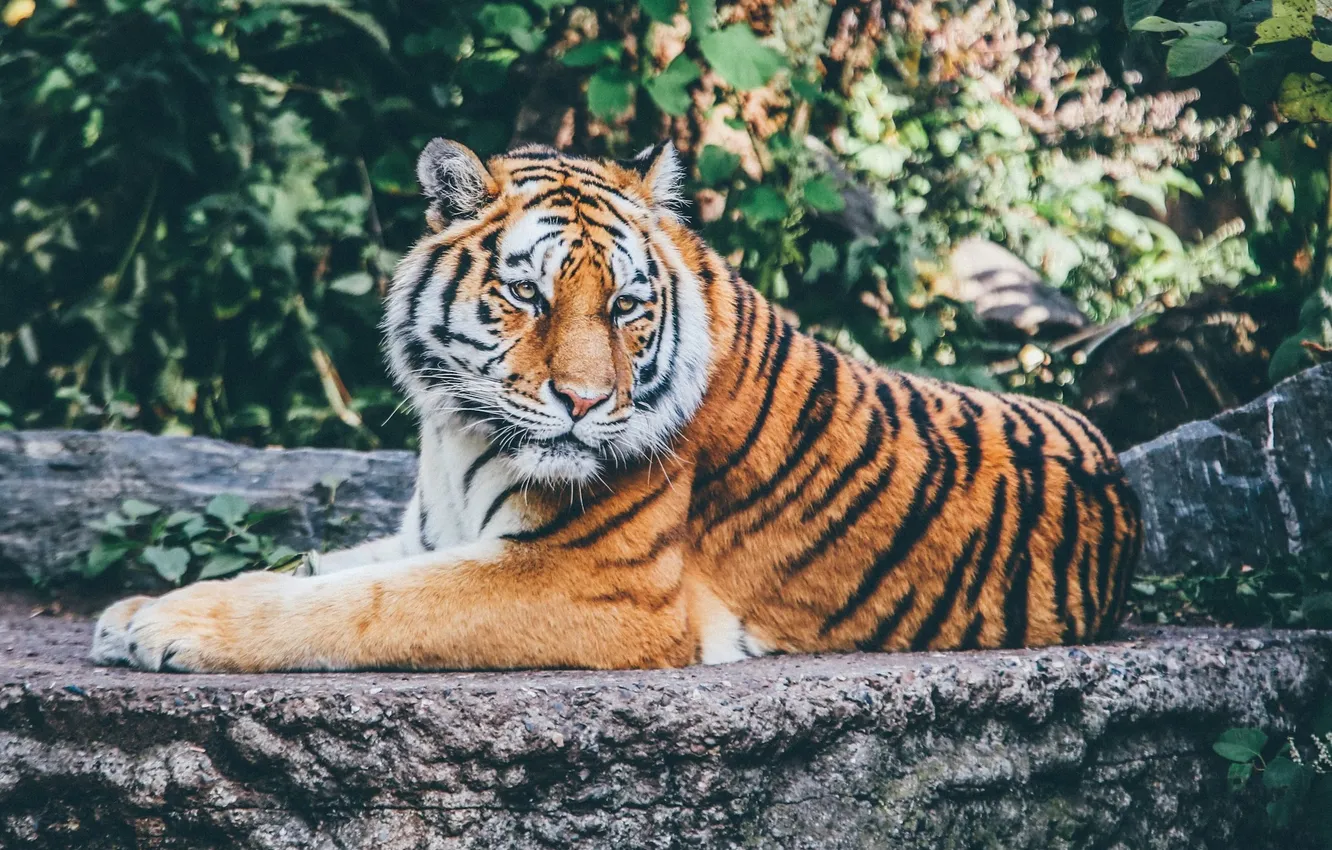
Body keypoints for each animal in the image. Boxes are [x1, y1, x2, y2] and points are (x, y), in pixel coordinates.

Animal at [89, 139, 1142, 673]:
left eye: (628, 307)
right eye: (528, 295)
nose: (586, 402)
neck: (455, 432)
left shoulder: (591, 583)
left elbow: (360, 605)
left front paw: (171, 629)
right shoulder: (430, 532)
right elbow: (314, 569)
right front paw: (137, 609)